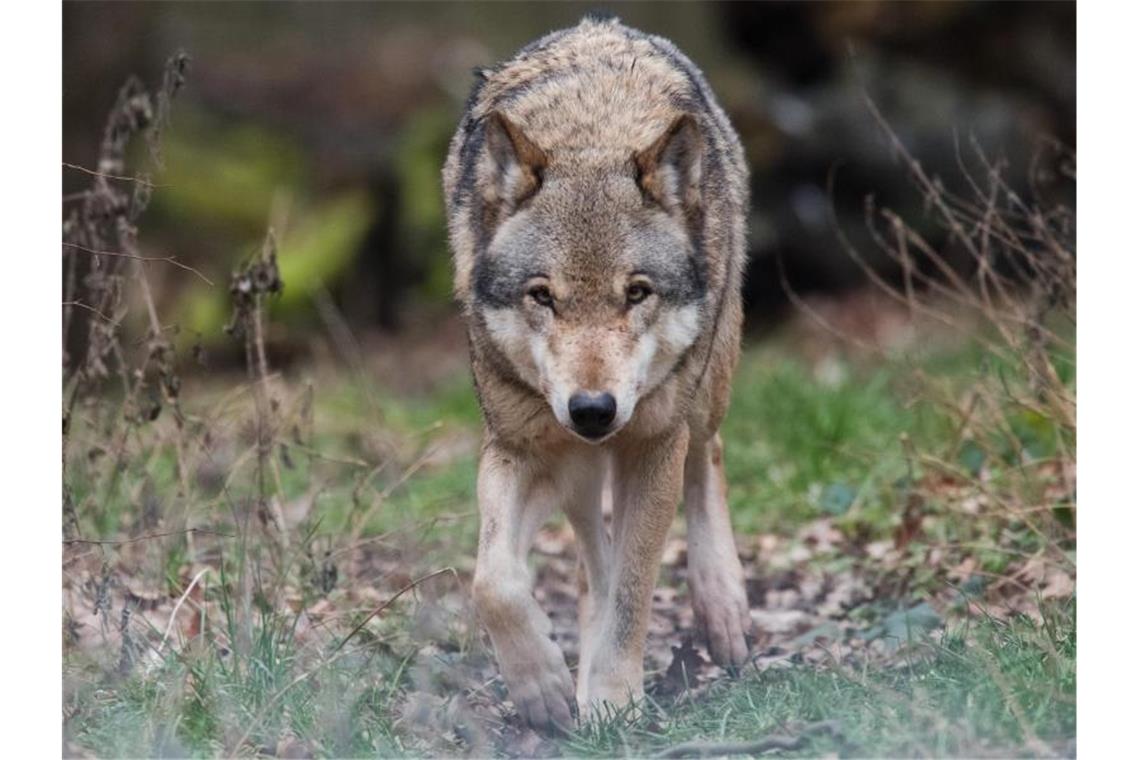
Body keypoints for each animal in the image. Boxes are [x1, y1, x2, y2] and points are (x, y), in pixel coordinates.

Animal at [440, 13, 752, 729]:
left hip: (702, 393)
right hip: (575, 466)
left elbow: (635, 592)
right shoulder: (521, 446)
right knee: (590, 556)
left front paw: (611, 698)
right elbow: (493, 581)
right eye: (542, 296)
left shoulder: (653, 446)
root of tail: (601, 24)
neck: (592, 133)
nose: (592, 410)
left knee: (708, 457)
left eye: (636, 293)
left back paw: (723, 611)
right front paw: (544, 687)